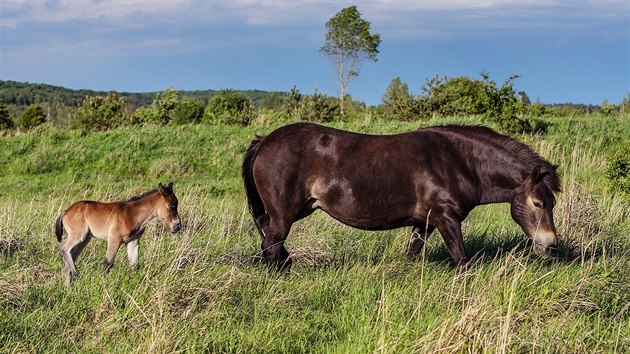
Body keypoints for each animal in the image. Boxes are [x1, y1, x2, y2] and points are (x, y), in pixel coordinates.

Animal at [243, 123, 564, 270]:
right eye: (538, 203)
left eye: (552, 203)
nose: (550, 244)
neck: (460, 163)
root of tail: (265, 140)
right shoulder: (446, 218)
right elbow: (461, 260)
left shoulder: (425, 223)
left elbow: (412, 253)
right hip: (285, 214)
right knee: (271, 245)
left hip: (296, 210)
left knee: (268, 237)